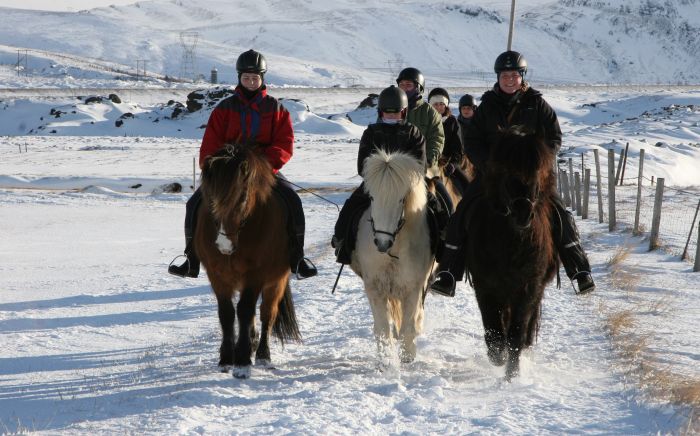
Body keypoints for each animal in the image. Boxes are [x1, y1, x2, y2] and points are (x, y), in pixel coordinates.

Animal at [194, 143, 300, 378]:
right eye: (210, 198)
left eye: (242, 198)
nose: (224, 245)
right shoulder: (216, 275)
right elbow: (226, 313)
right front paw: (226, 358)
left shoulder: (256, 275)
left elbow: (245, 310)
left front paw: (242, 361)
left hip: (276, 282)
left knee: (267, 313)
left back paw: (262, 355)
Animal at [348, 150, 432, 364]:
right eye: (371, 197)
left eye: (401, 199)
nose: (382, 243)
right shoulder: (375, 288)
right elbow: (383, 329)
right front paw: (386, 360)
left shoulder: (413, 288)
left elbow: (408, 326)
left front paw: (407, 357)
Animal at [464, 127, 556, 380]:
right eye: (507, 172)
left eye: (537, 173)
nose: (523, 214)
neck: (511, 243)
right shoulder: (486, 287)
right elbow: (494, 333)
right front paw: (499, 358)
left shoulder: (528, 288)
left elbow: (516, 334)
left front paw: (511, 373)